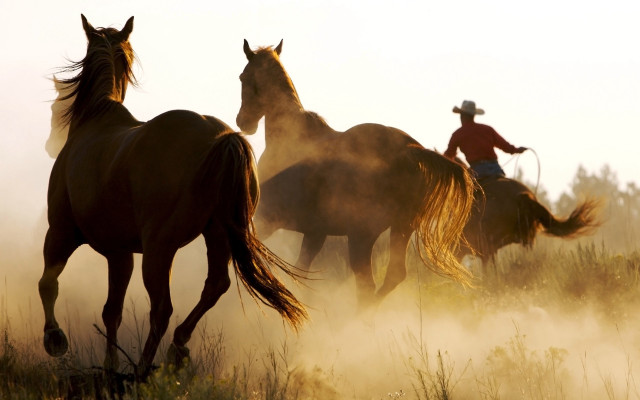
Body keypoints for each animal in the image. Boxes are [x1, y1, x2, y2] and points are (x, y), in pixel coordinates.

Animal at [38, 15, 306, 376]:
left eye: (57, 107)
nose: (49, 144)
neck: (95, 121)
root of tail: (221, 138)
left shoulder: (61, 232)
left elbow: (48, 283)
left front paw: (55, 338)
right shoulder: (119, 253)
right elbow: (112, 311)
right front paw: (110, 367)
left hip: (159, 249)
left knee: (162, 309)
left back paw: (143, 369)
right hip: (217, 236)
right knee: (213, 287)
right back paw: (177, 348)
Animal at [236, 40, 476, 306]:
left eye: (242, 77)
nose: (243, 122)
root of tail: (410, 150)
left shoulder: (267, 219)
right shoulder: (315, 233)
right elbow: (301, 272)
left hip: (362, 236)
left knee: (367, 285)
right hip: (399, 228)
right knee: (391, 277)